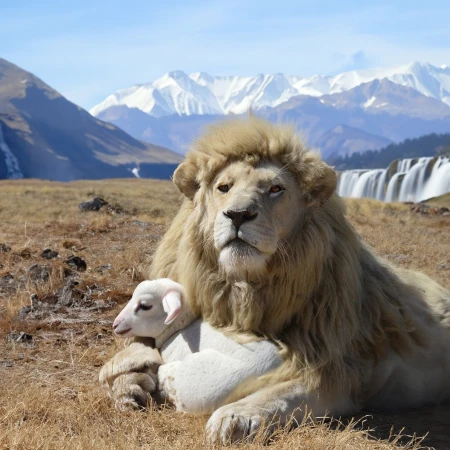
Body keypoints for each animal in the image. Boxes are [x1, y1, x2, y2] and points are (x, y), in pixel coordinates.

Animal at [101, 115, 450, 442]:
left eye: (275, 189)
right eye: (223, 187)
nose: (238, 215)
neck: (244, 290)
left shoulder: (342, 370)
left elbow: (280, 392)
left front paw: (234, 418)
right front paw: (129, 384)